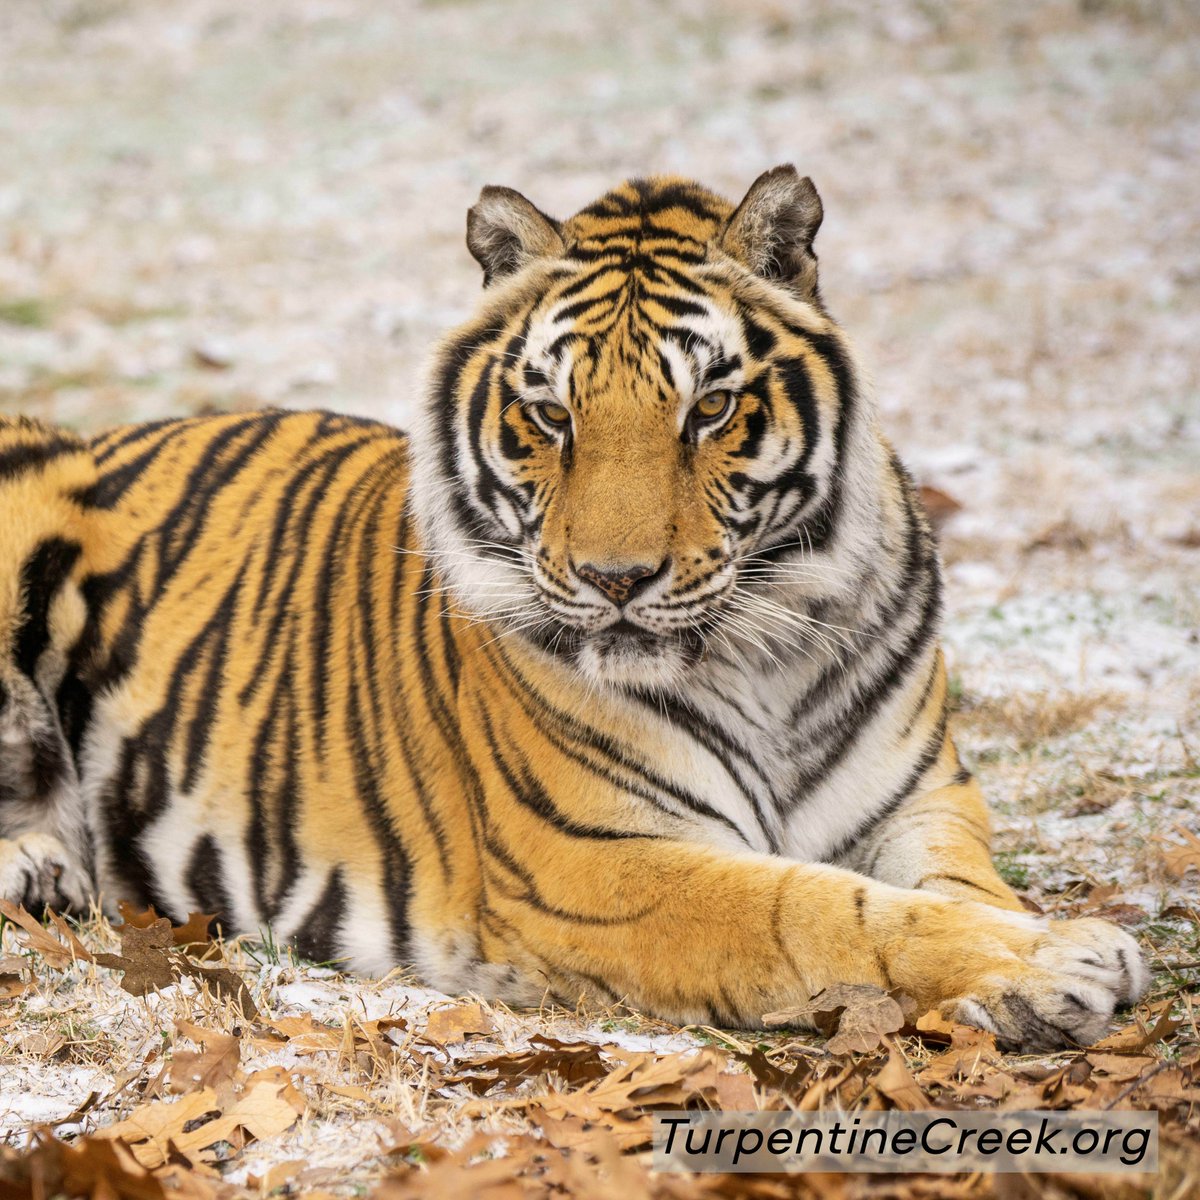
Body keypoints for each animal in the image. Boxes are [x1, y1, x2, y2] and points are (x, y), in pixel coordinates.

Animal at [0, 167, 1145, 1050]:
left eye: (710, 408)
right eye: (551, 415)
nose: (616, 580)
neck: (769, 652)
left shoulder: (922, 801)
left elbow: (955, 886)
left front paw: (1026, 955)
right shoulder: (600, 861)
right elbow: (818, 912)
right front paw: (1061, 962)